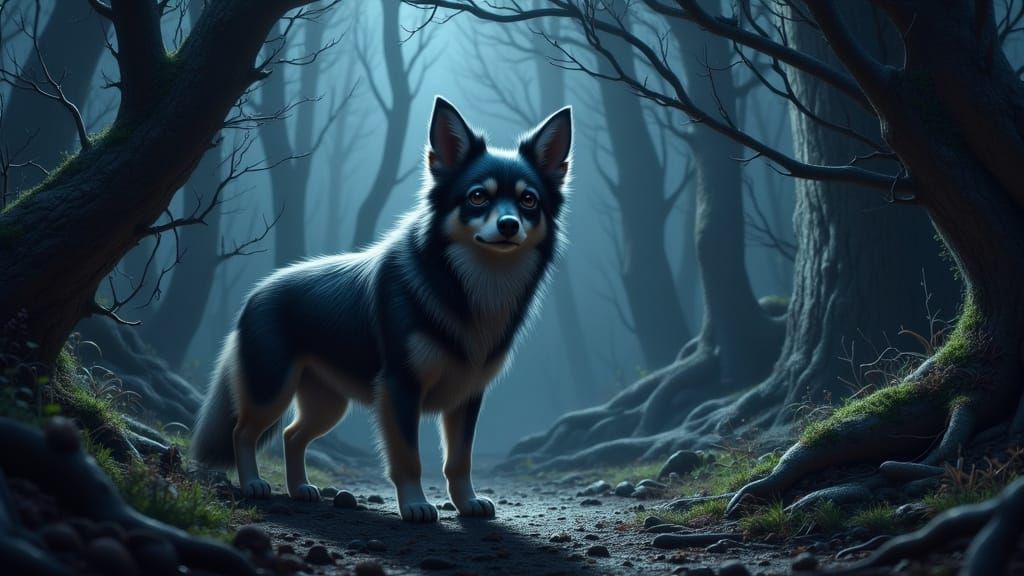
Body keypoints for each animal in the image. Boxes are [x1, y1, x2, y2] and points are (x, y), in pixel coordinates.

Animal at [192, 97, 572, 522]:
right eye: (477, 197)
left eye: (528, 200)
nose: (508, 225)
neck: (469, 287)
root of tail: (255, 294)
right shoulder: (399, 388)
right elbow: (409, 458)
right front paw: (416, 506)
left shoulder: (467, 396)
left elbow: (460, 460)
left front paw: (467, 503)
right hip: (271, 391)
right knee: (243, 431)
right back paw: (254, 484)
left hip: (328, 405)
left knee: (292, 435)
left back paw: (301, 489)